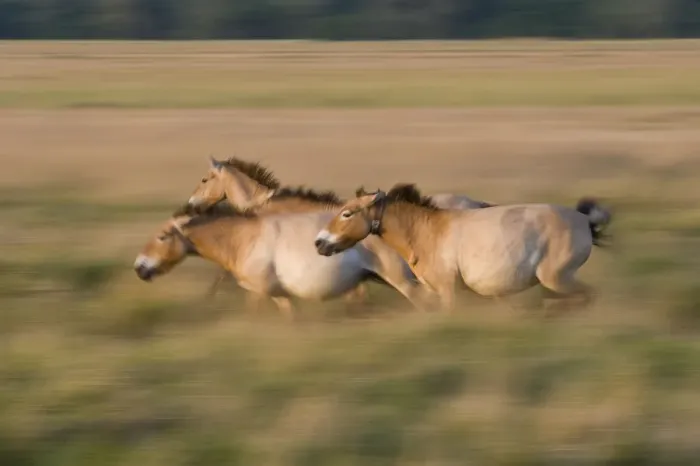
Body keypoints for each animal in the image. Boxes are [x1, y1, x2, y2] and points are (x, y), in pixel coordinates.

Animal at [134, 202, 426, 319]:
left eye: (162, 236)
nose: (139, 267)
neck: (243, 239)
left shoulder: (269, 292)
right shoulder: (270, 294)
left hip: (402, 281)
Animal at [314, 184, 611, 312]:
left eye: (347, 213)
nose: (319, 242)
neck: (426, 232)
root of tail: (584, 219)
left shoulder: (449, 290)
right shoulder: (435, 291)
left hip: (557, 278)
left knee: (590, 296)